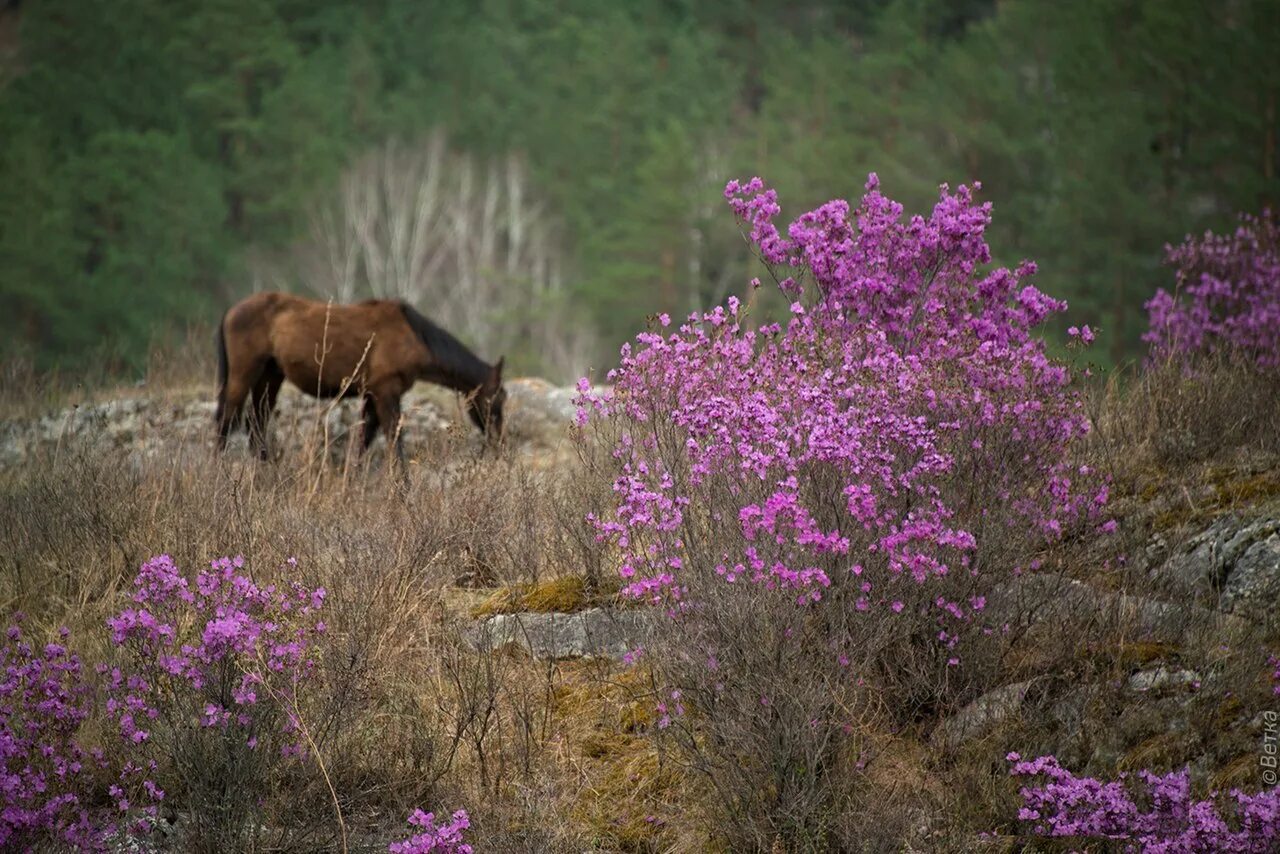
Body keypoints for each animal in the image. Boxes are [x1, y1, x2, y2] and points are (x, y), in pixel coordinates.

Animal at [213, 295, 504, 468]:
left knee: (256, 422)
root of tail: (231, 311)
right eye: (498, 399)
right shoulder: (386, 392)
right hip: (243, 374)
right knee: (227, 419)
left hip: (270, 376)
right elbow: (393, 438)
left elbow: (365, 438)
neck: (413, 336)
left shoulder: (372, 395)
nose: (497, 441)